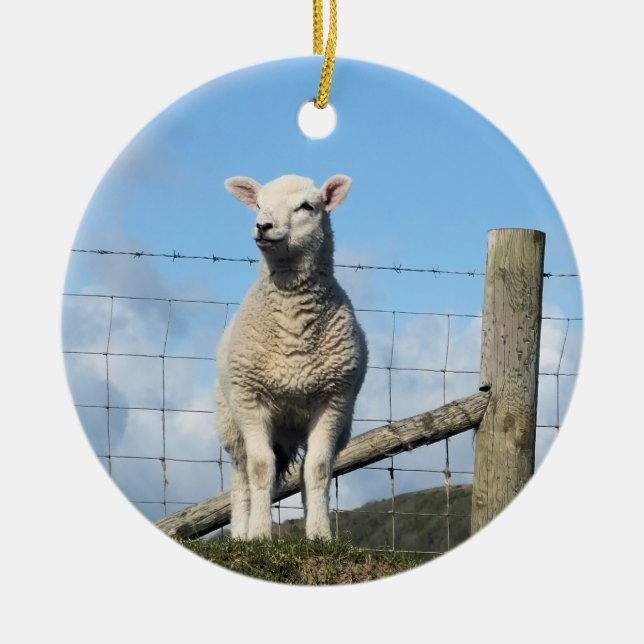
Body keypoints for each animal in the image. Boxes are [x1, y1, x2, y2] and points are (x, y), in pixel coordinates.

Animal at [214, 174, 368, 540]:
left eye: (306, 206)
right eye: (258, 204)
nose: (263, 226)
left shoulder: (334, 401)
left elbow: (318, 470)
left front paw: (321, 535)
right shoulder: (250, 398)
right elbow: (260, 469)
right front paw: (259, 534)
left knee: (303, 472)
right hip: (231, 422)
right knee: (242, 478)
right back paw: (241, 534)